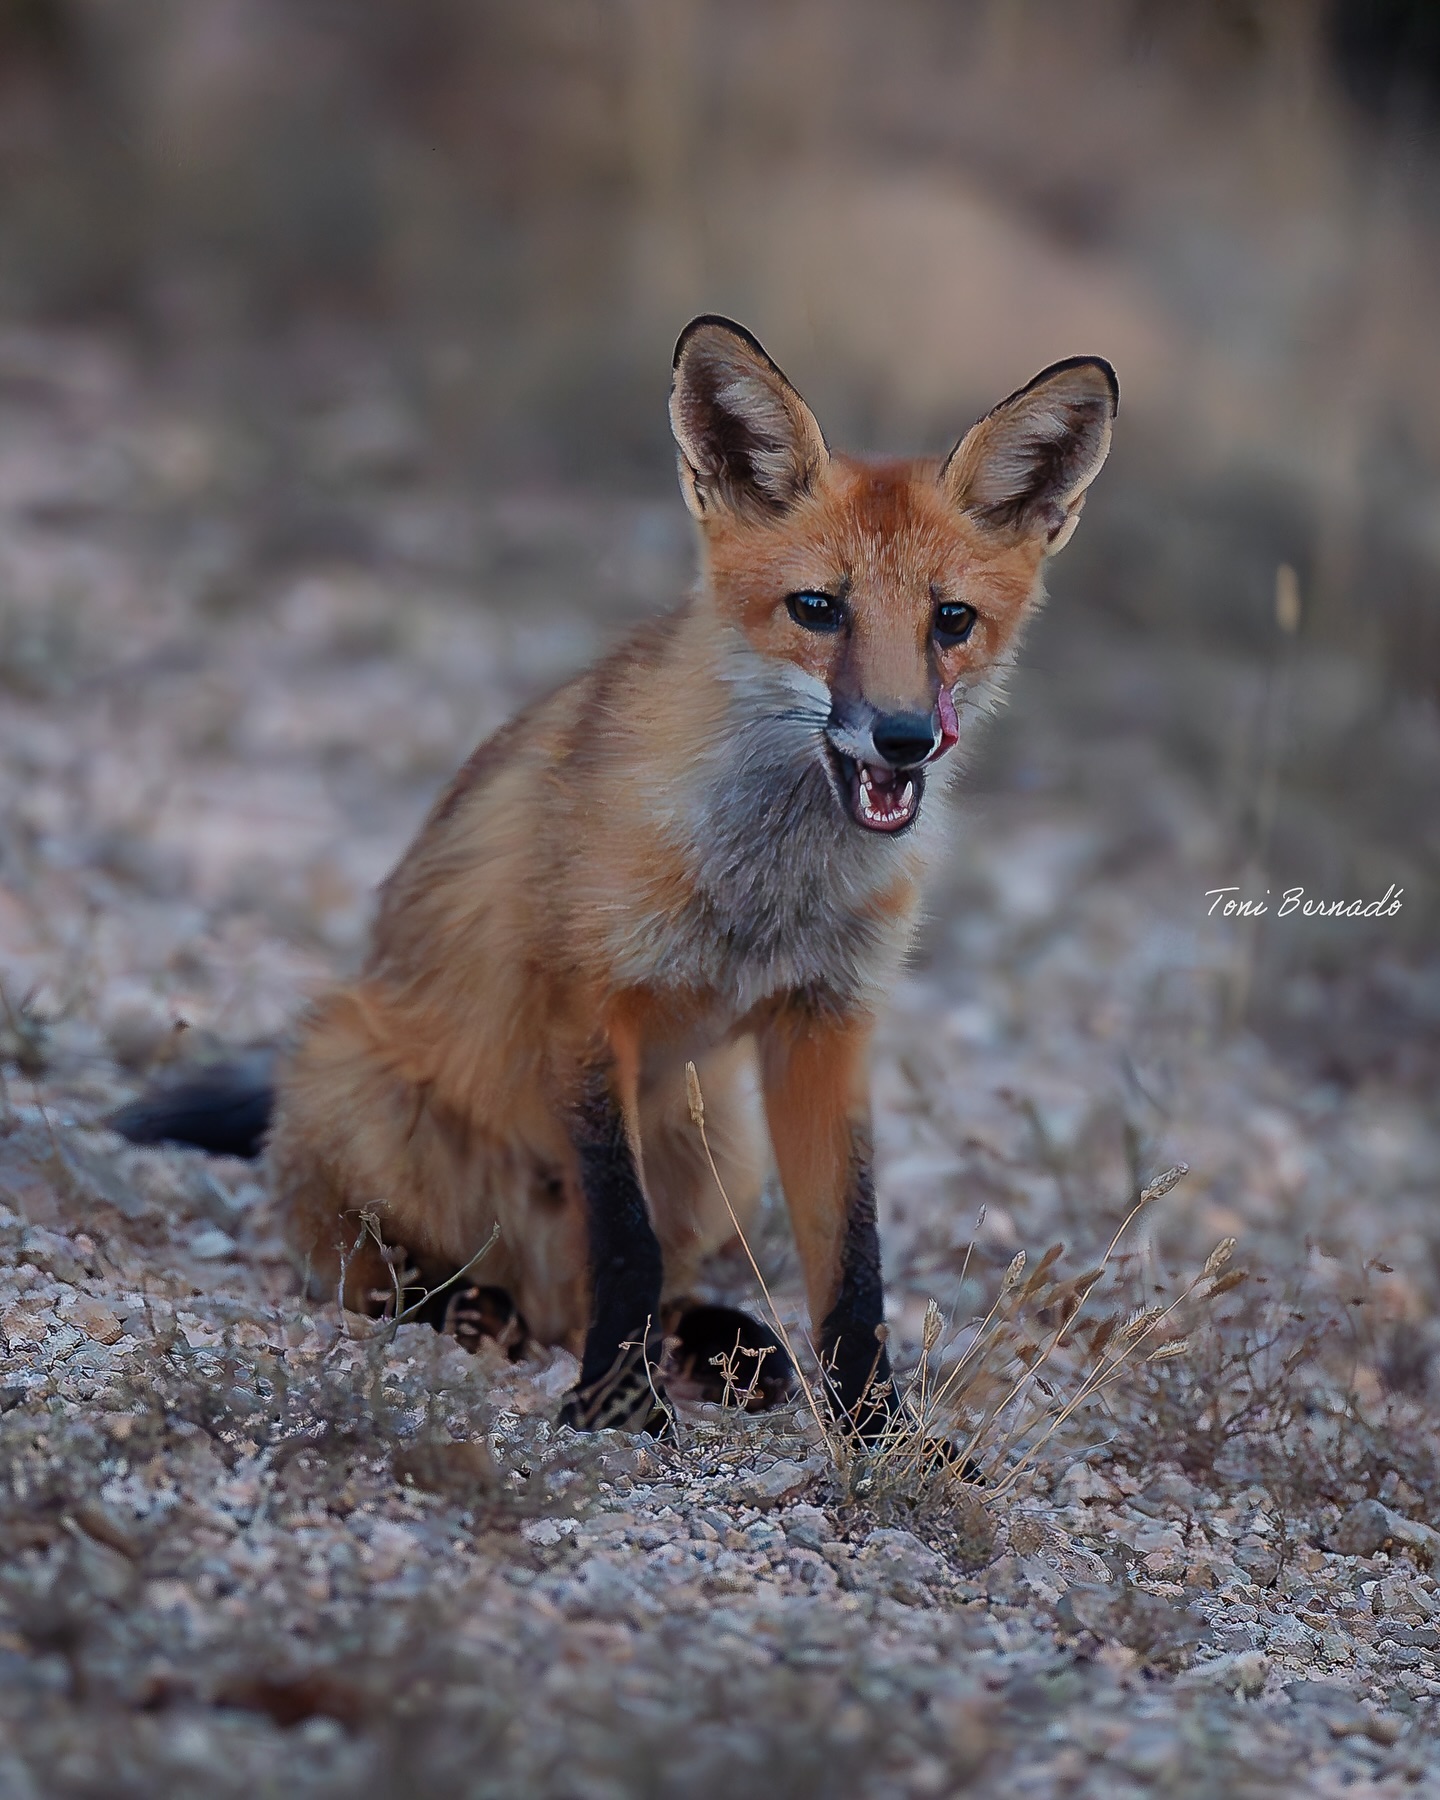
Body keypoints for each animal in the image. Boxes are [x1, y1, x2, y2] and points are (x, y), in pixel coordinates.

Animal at [117, 320, 1116, 1432]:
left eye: (951, 621)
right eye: (818, 609)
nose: (902, 738)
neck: (764, 890)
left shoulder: (826, 1026)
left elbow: (855, 1270)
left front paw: (883, 1435)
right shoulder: (588, 1007)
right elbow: (624, 1239)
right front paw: (615, 1406)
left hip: (718, 1134)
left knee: (647, 1282)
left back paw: (722, 1344)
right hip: (349, 1079)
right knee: (374, 1272)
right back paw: (473, 1308)